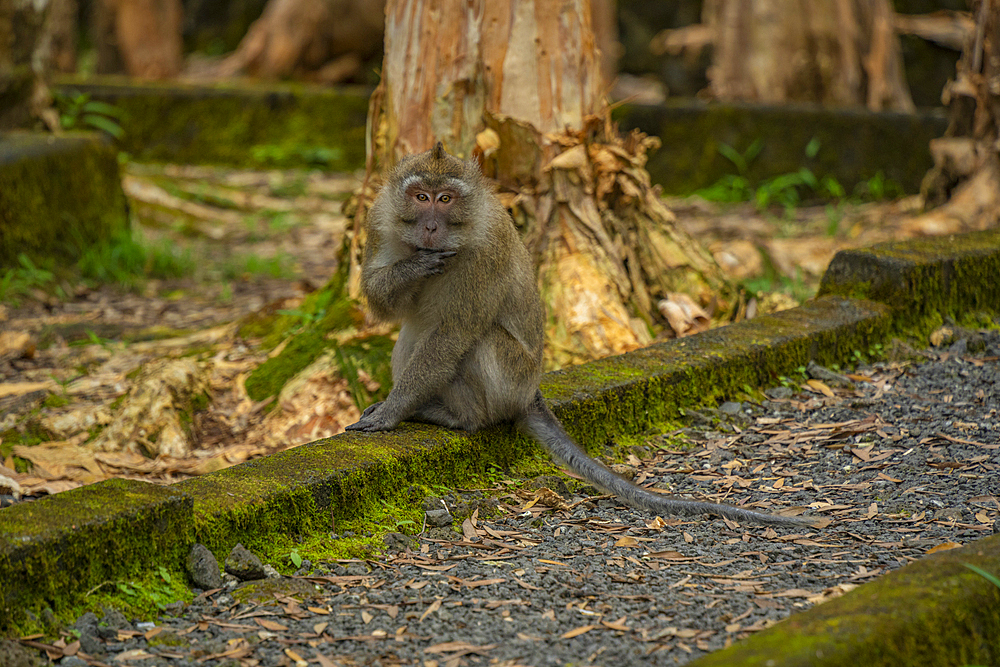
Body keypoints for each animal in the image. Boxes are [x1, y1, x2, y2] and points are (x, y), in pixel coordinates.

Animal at [348, 144, 816, 528]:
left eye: (445, 199)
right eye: (420, 197)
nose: (430, 227)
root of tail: (532, 392)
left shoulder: (486, 249)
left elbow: (454, 331)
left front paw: (392, 412)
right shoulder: (379, 218)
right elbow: (379, 300)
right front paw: (411, 268)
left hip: (511, 382)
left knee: (476, 340)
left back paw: (459, 418)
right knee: (413, 332)